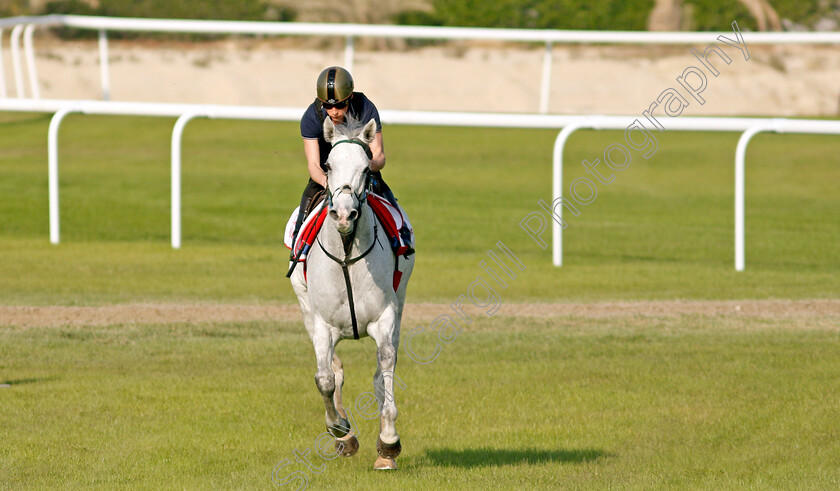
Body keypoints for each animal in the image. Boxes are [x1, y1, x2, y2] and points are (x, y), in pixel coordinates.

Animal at [290, 116, 416, 472]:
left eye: (365, 168)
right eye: (328, 165)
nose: (345, 215)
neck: (347, 253)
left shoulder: (385, 316)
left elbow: (385, 367)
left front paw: (388, 442)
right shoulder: (322, 324)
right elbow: (325, 379)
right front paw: (340, 431)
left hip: (400, 303)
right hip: (305, 308)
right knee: (334, 371)